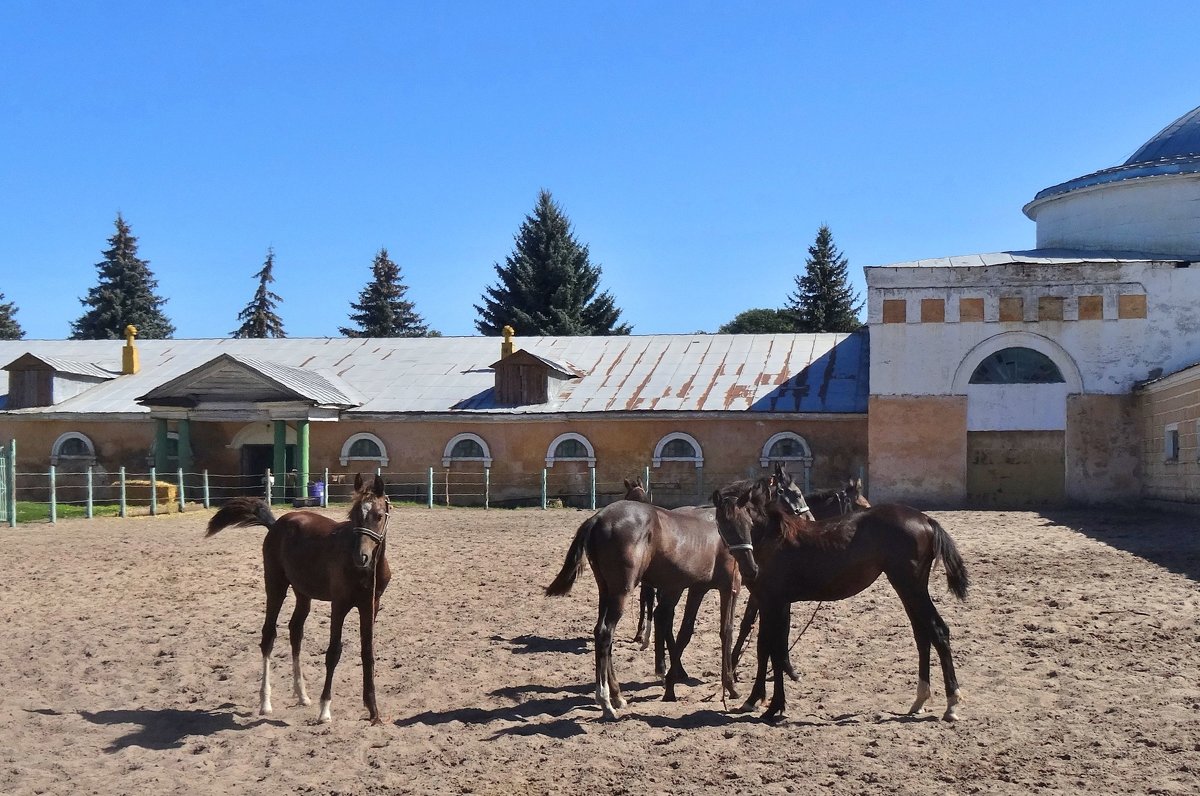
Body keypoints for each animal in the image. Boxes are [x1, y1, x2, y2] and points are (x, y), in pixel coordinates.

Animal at [206, 473, 391, 729]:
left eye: (379, 515)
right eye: (354, 515)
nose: (360, 557)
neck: (366, 571)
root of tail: (275, 525)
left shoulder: (370, 606)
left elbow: (368, 653)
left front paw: (373, 711)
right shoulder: (339, 605)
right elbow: (333, 653)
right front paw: (325, 710)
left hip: (303, 593)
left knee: (296, 631)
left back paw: (302, 695)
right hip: (275, 586)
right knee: (268, 636)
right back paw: (265, 702)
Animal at [705, 475, 969, 725]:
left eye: (748, 523)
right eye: (724, 525)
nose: (750, 570)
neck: (773, 539)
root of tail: (925, 520)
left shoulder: (775, 603)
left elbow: (775, 650)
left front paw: (774, 707)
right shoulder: (767, 601)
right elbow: (764, 647)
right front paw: (753, 699)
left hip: (911, 586)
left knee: (938, 631)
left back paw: (952, 704)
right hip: (908, 588)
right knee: (922, 635)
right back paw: (920, 700)